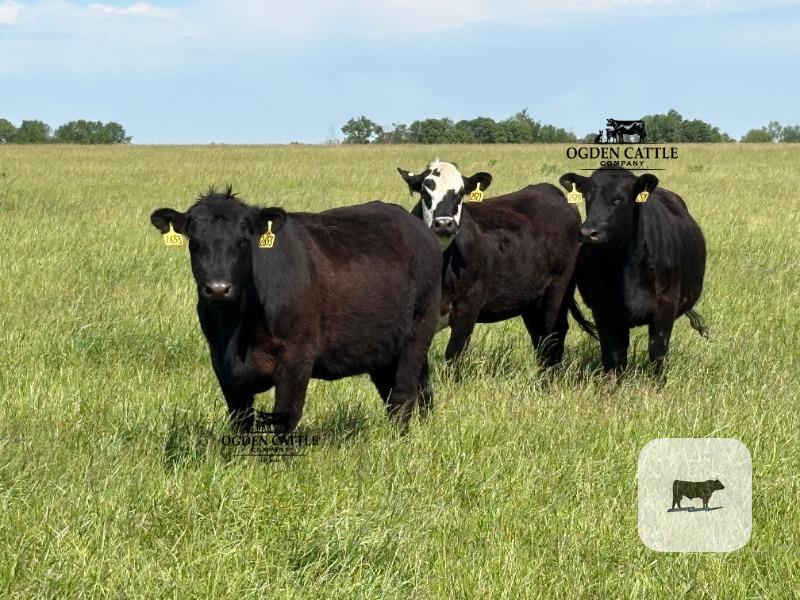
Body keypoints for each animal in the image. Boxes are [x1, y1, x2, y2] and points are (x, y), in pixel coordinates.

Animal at [150, 188, 442, 433]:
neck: (236, 330)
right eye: (194, 242)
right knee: (411, 391)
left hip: (418, 329)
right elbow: (241, 418)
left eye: (244, 241)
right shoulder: (221, 363)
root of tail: (416, 226)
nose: (219, 288)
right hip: (382, 347)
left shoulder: (297, 357)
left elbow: (286, 415)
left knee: (403, 394)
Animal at [397, 160, 596, 367]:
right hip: (531, 298)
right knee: (539, 336)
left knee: (554, 334)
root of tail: (550, 190)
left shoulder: (468, 307)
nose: (444, 223)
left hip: (559, 289)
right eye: (424, 191)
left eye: (461, 193)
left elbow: (454, 354)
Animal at [559, 166, 707, 378]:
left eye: (619, 199)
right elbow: (613, 355)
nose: (588, 233)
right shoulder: (604, 310)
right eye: (587, 197)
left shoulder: (665, 307)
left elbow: (657, 352)